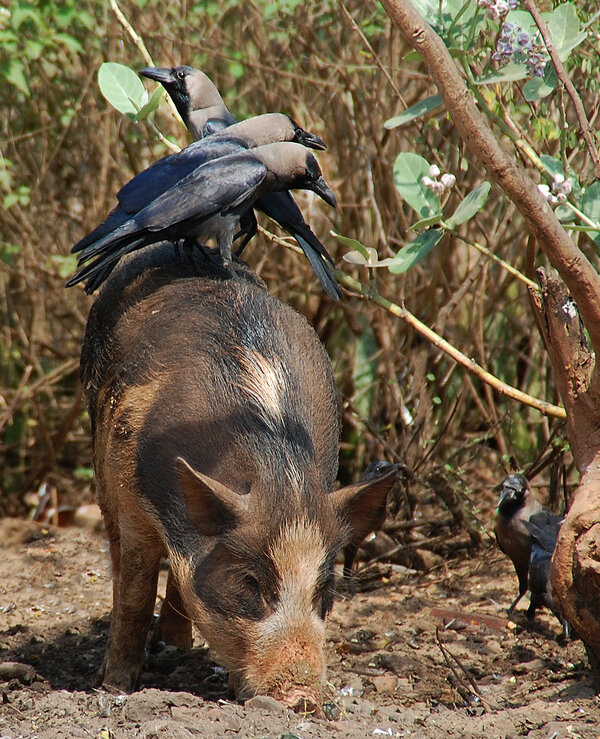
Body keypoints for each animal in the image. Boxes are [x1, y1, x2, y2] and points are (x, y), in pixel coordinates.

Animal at [81, 246, 394, 712]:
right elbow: (135, 596)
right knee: (118, 558)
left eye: (324, 591)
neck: (279, 475)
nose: (301, 696)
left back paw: (176, 643)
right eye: (250, 583)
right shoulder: (132, 496)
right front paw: (114, 687)